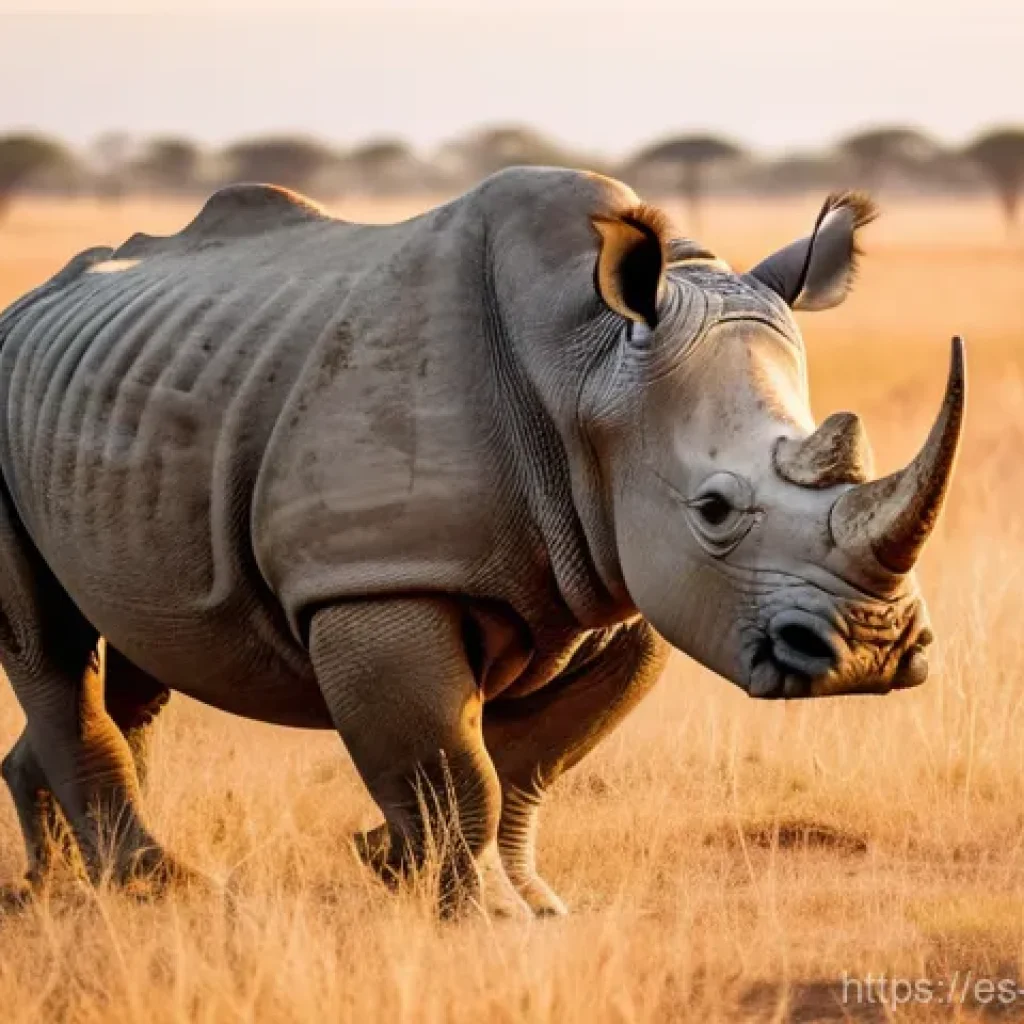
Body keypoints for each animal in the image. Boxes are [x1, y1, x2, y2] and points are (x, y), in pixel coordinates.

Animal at [0, 169, 963, 916]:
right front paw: (482, 915)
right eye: (715, 510)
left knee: (136, 648)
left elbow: (528, 767)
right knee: (50, 648)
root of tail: (27, 304)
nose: (872, 655)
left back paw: (55, 888)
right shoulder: (377, 581)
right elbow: (456, 768)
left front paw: (487, 893)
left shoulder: (621, 584)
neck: (591, 366)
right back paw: (152, 888)